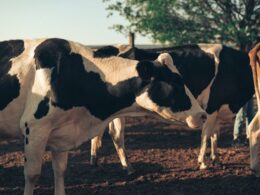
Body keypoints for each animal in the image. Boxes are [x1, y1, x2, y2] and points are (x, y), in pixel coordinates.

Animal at [0, 38, 205, 195]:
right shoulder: (35, 128)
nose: (202, 115)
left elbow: (60, 170)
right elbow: (32, 174)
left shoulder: (62, 133)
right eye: (176, 82)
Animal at [90, 44, 254, 172]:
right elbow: (206, 135)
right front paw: (202, 162)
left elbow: (215, 135)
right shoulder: (211, 107)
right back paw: (128, 166)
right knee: (116, 134)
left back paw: (95, 161)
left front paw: (216, 159)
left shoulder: (218, 109)